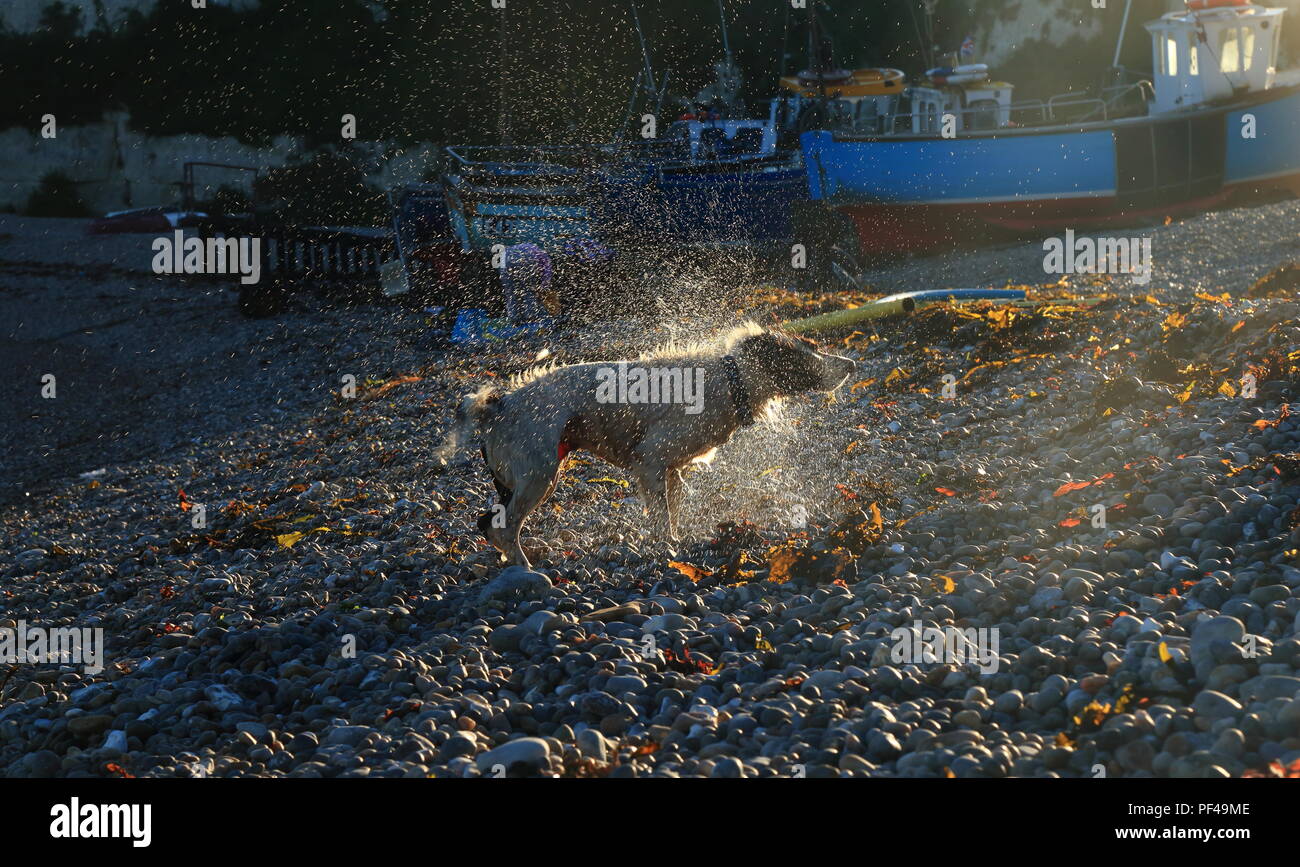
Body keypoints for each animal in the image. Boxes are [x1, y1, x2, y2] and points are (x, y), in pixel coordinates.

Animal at [439, 324, 863, 569]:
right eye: (805, 354)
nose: (851, 365)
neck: (730, 380)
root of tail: (499, 404)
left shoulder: (670, 470)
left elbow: (671, 512)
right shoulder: (651, 463)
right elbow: (662, 520)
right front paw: (669, 549)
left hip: (516, 480)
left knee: (488, 523)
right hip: (538, 475)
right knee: (504, 527)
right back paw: (526, 568)